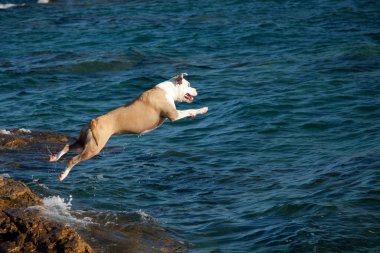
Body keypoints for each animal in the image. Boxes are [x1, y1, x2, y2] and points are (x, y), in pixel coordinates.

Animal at [49, 72, 209, 180]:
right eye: (189, 85)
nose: (197, 90)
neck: (168, 90)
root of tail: (93, 121)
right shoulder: (174, 115)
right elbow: (190, 109)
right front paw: (202, 109)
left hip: (85, 142)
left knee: (68, 146)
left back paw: (55, 157)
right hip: (93, 148)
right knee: (73, 159)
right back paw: (63, 175)